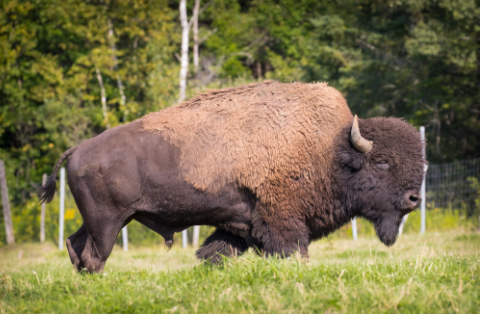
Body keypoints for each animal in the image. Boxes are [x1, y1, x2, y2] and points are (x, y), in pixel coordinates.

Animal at [36, 80, 424, 272]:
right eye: (383, 162)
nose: (413, 199)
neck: (329, 150)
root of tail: (78, 149)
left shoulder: (241, 224)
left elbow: (217, 251)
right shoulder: (283, 223)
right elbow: (292, 251)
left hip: (97, 220)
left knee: (75, 246)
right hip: (108, 223)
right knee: (93, 256)